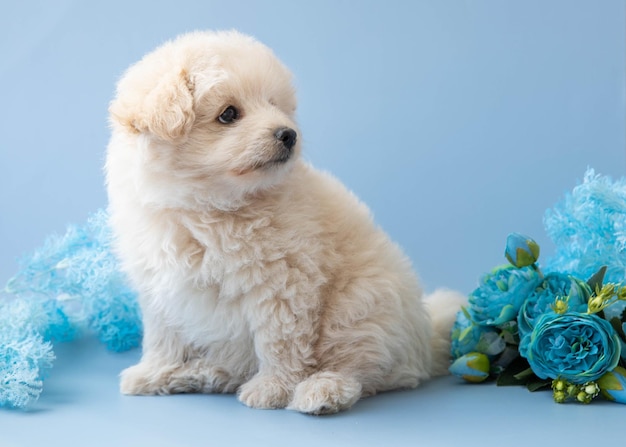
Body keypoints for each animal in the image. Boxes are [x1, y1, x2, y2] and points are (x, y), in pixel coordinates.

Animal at [105, 30, 460, 416]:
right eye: (228, 114)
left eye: (274, 104)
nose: (288, 134)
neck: (205, 207)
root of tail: (426, 339)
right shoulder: (160, 284)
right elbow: (163, 336)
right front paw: (154, 372)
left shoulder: (282, 283)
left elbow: (279, 342)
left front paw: (273, 388)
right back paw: (199, 373)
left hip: (359, 306)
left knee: (362, 368)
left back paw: (323, 390)